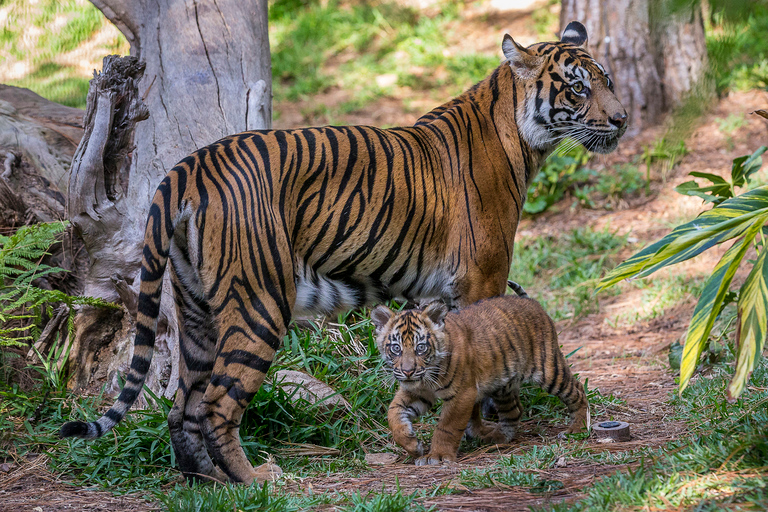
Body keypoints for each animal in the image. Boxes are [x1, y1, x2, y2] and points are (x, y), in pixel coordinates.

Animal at [58, 21, 624, 484]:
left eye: (608, 80)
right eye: (578, 86)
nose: (620, 120)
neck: (522, 136)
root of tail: (187, 165)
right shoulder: (483, 276)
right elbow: (485, 354)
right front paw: (492, 428)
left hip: (195, 309)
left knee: (182, 406)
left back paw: (208, 482)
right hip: (260, 302)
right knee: (217, 404)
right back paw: (258, 479)